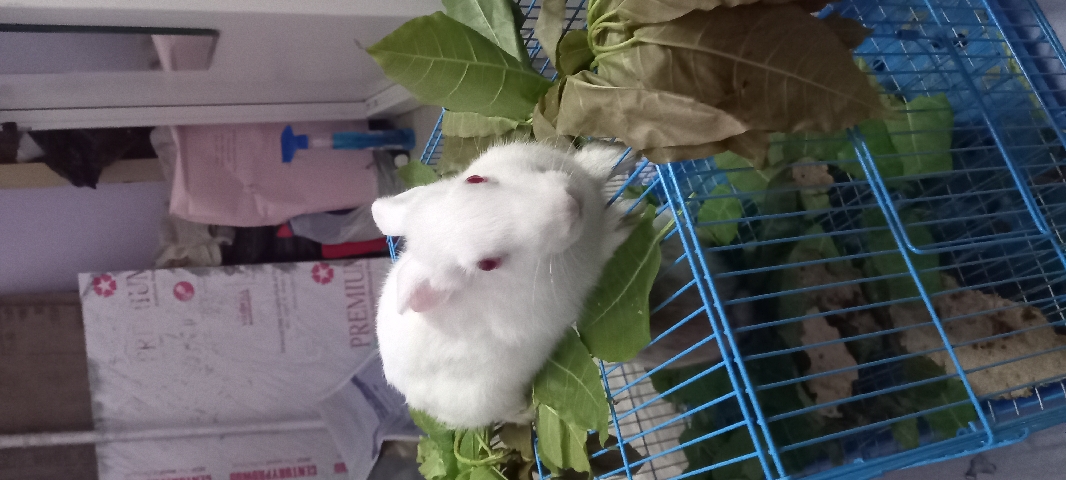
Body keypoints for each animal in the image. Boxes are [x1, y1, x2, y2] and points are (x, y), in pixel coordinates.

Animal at [371, 141, 635, 429]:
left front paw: (619, 157)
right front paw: (622, 219)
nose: (569, 203)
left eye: (475, 179)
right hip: (486, 400)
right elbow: (602, 248)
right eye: (487, 264)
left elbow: (592, 166)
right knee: (506, 413)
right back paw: (529, 413)